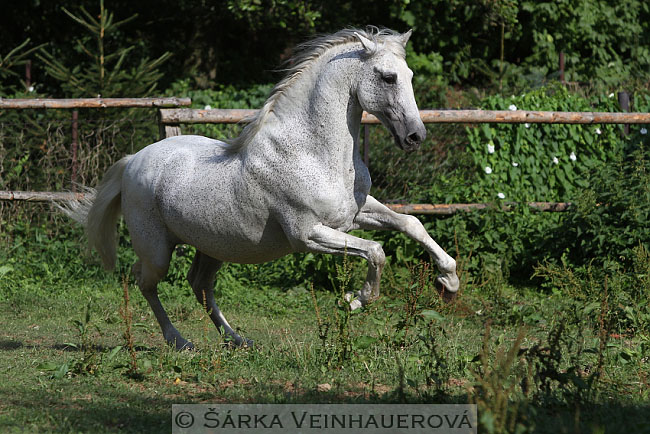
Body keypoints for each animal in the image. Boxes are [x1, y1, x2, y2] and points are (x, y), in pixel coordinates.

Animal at [60, 28, 456, 350]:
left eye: (410, 75)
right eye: (388, 77)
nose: (415, 136)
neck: (312, 151)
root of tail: (132, 161)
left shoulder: (355, 215)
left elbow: (411, 224)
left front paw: (448, 282)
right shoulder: (308, 234)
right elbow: (376, 251)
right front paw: (353, 300)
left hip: (215, 245)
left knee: (199, 285)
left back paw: (238, 340)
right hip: (157, 250)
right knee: (145, 282)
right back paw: (180, 342)